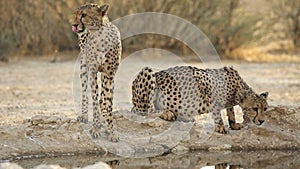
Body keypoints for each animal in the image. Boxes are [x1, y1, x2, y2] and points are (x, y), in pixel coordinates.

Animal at [71, 3, 120, 142]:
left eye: (84, 15)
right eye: (76, 14)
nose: (74, 25)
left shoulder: (109, 74)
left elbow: (108, 102)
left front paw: (110, 130)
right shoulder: (92, 72)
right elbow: (94, 99)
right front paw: (96, 128)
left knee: (103, 98)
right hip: (83, 68)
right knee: (85, 94)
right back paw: (84, 115)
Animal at [132, 66, 268, 133]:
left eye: (265, 109)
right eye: (255, 108)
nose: (262, 121)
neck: (237, 87)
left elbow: (231, 112)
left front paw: (233, 125)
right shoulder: (208, 86)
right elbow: (218, 113)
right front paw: (220, 127)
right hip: (148, 73)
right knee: (147, 110)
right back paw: (167, 113)